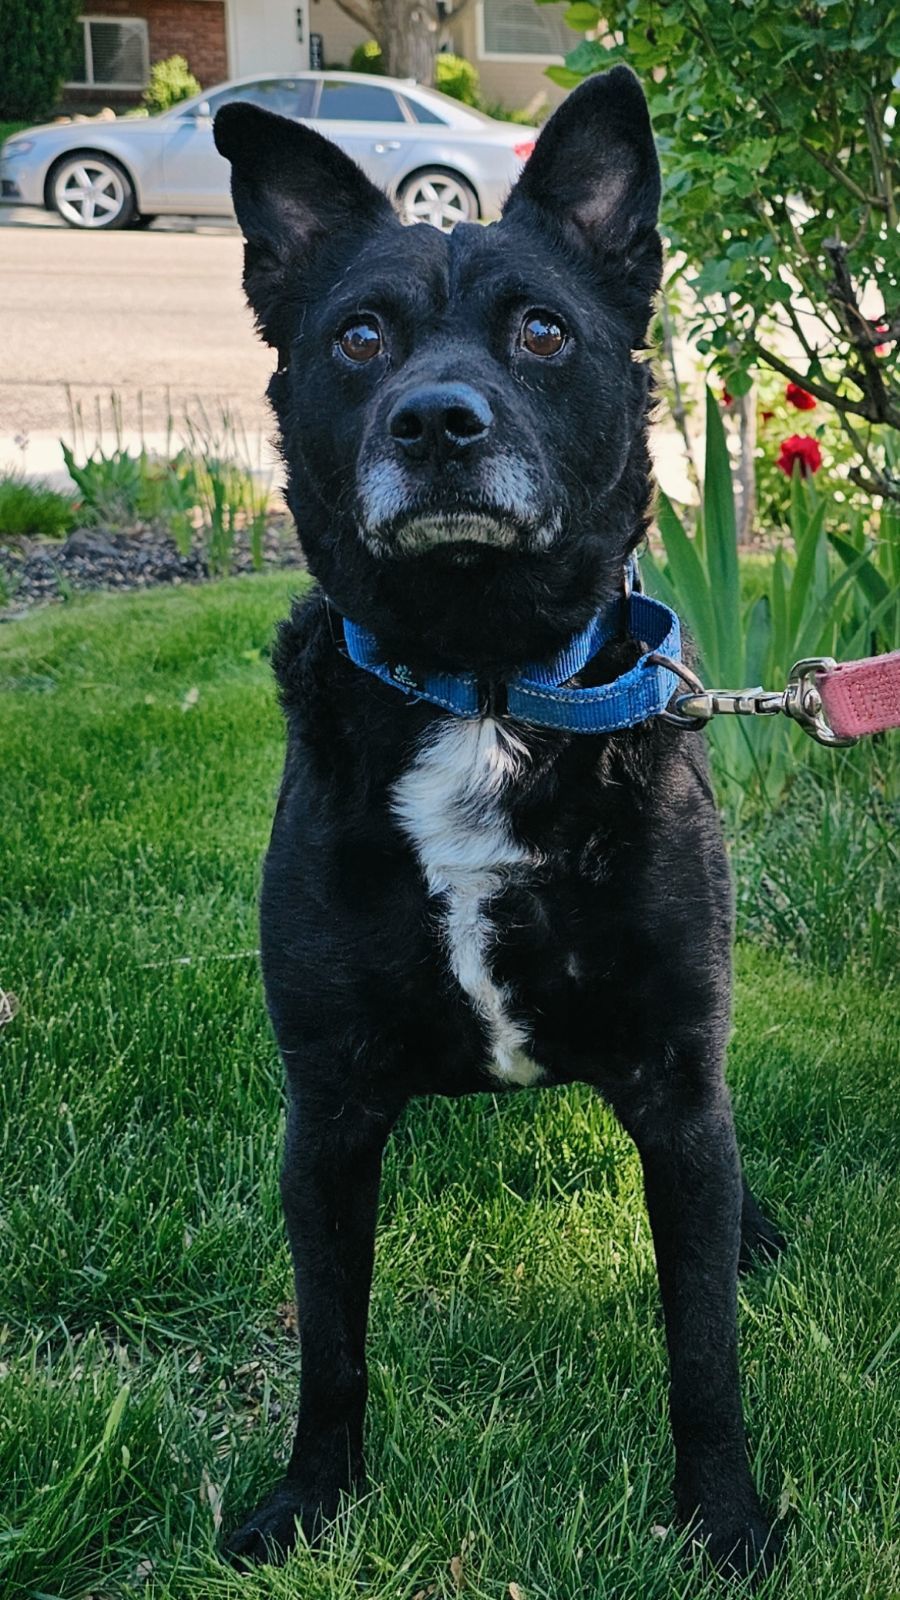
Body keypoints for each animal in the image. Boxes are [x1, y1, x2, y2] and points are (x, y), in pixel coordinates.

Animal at [212, 68, 781, 1580]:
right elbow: (332, 1343)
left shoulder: (677, 1085)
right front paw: (311, 1502)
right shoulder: (330, 1105)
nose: (436, 423)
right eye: (358, 336)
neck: (479, 680)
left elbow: (703, 1349)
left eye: (543, 329)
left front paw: (727, 1522)